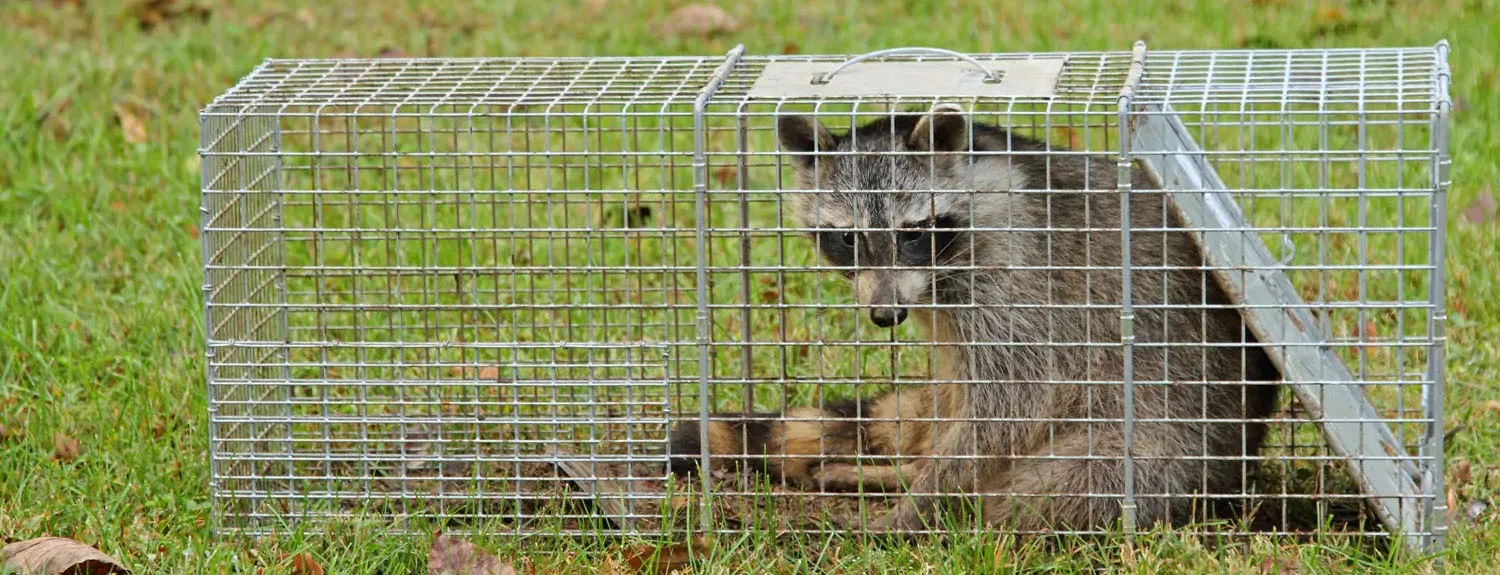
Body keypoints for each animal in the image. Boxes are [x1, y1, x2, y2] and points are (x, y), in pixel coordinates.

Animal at [668, 104, 1283, 534]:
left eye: (913, 233)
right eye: (847, 238)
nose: (885, 315)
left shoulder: (1018, 275)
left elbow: (1011, 404)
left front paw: (919, 507)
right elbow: (961, 399)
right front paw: (912, 479)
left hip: (1166, 447)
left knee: (1060, 487)